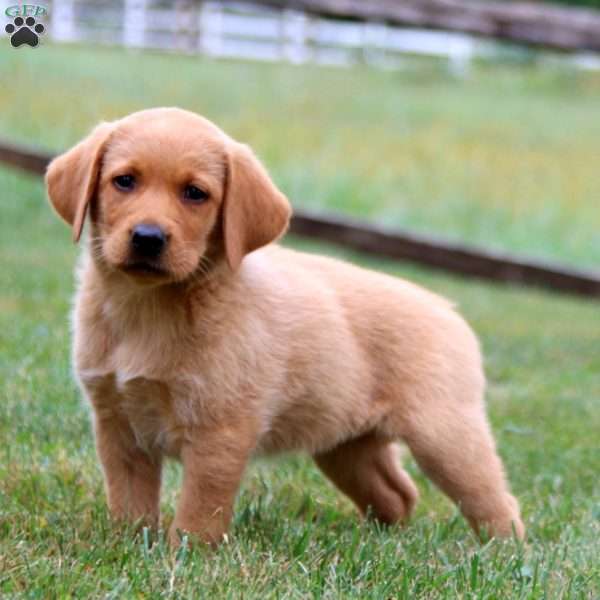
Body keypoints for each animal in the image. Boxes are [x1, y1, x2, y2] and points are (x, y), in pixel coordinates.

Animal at [47, 106, 524, 544]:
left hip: (444, 437)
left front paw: (185, 554)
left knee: (496, 501)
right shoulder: (117, 424)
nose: (147, 238)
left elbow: (201, 508)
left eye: (195, 193)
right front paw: (127, 543)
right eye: (124, 181)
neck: (147, 309)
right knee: (398, 494)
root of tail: (448, 309)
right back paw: (378, 541)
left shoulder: (220, 432)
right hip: (346, 447)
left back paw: (505, 552)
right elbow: (129, 500)